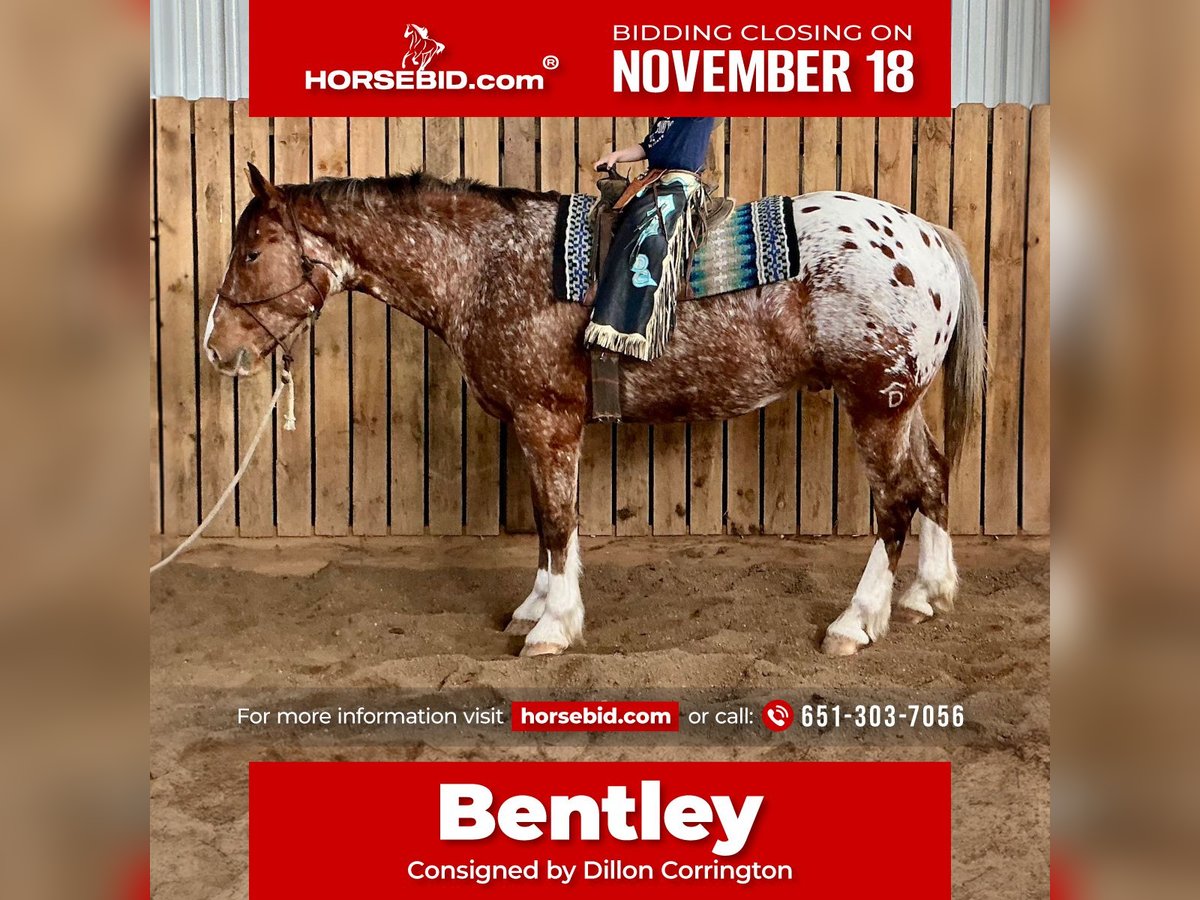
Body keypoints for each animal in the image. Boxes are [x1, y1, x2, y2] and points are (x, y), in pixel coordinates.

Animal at [206, 162, 984, 657]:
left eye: (251, 253)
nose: (216, 348)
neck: (484, 264)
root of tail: (926, 237)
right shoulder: (537, 425)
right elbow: (547, 519)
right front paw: (535, 607)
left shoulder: (546, 418)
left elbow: (556, 519)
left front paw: (554, 627)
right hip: (903, 404)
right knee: (935, 475)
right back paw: (927, 593)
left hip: (875, 403)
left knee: (896, 500)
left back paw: (858, 620)